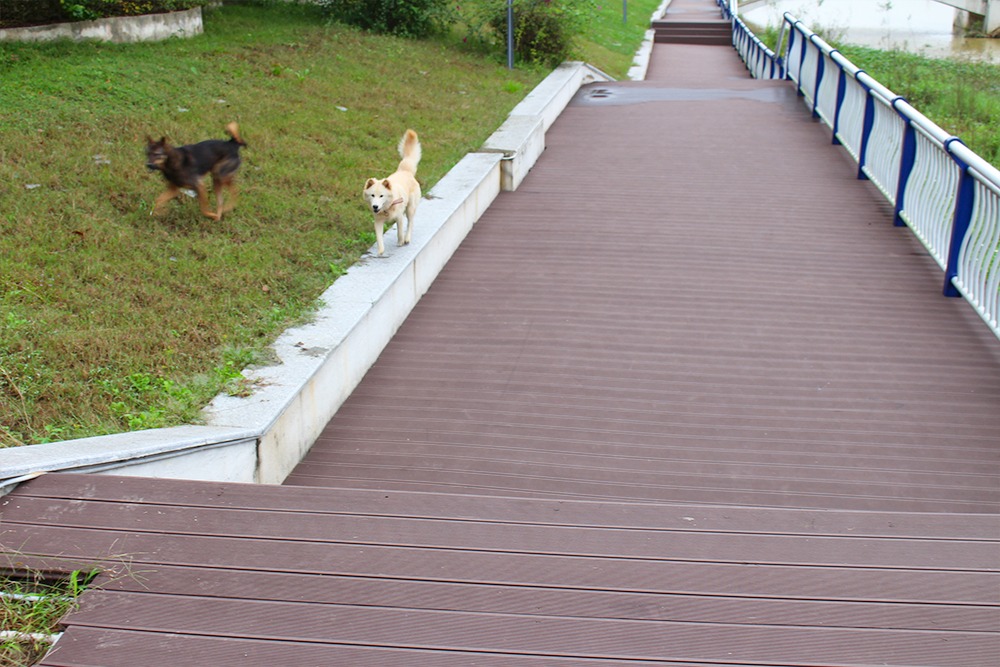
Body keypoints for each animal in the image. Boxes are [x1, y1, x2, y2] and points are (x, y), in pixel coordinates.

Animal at [362, 129, 420, 258]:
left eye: (381, 196)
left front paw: (400, 241)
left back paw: (407, 238)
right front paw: (380, 251)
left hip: (410, 208)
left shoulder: (399, 217)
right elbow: (379, 238)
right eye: (372, 195)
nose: (375, 206)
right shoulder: (378, 221)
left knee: (411, 223)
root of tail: (405, 171)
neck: (386, 208)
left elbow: (400, 232)